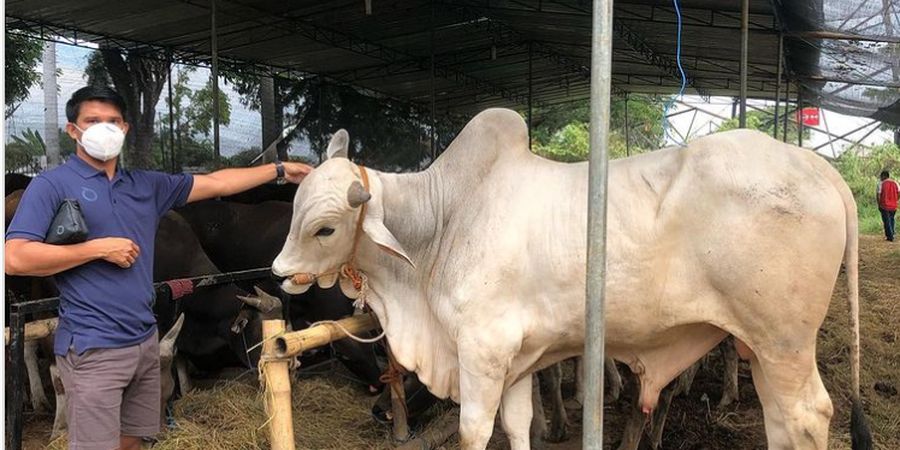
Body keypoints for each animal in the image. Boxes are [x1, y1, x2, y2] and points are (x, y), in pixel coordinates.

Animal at [270, 109, 868, 450]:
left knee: (809, 416)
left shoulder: (482, 353)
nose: (278, 274)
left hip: (785, 343)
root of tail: (819, 168)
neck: (444, 222)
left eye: (325, 228)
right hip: (761, 347)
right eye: (293, 206)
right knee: (781, 420)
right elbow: (516, 427)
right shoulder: (515, 362)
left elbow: (474, 432)